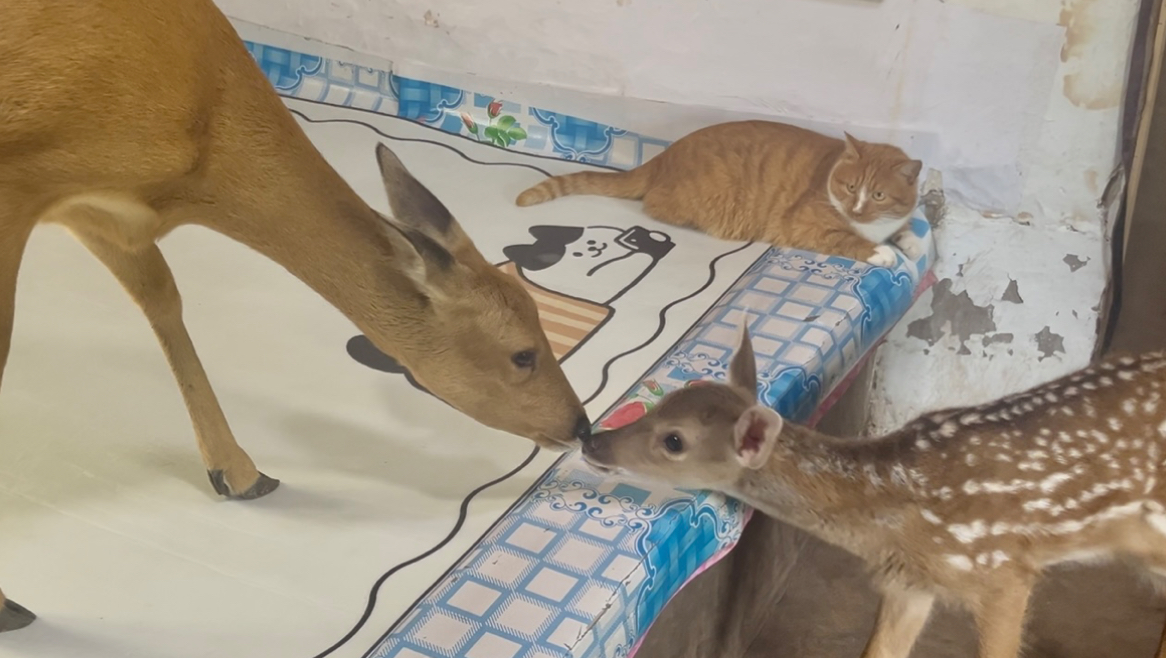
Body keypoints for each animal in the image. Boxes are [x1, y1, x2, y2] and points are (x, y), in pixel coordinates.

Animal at [0, 0, 592, 633]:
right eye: (523, 353)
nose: (580, 425)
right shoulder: (24, 186)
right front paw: (9, 605)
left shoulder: (99, 212)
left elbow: (162, 298)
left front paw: (239, 473)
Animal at [583, 326, 1166, 657]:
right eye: (666, 400)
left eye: (673, 440)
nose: (593, 439)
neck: (893, 506)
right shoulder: (908, 584)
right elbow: (879, 651)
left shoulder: (1003, 571)